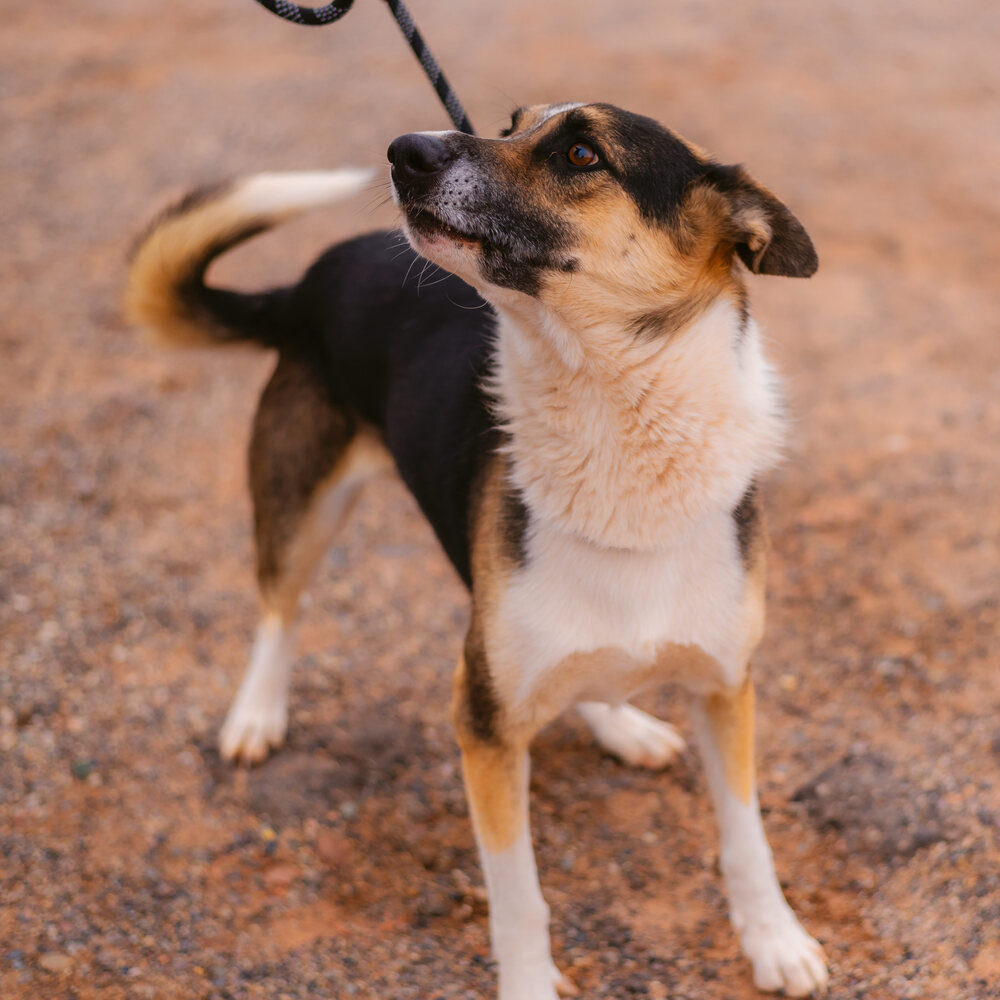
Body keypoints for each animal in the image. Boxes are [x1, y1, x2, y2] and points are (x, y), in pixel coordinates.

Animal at [125, 103, 828, 1000]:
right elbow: (518, 894)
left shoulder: (726, 686)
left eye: (581, 153)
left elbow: (747, 840)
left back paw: (623, 725)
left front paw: (774, 939)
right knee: (279, 607)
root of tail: (318, 271)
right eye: (510, 124)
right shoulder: (483, 727)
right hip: (302, 496)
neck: (613, 429)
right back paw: (257, 713)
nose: (405, 150)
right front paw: (529, 982)